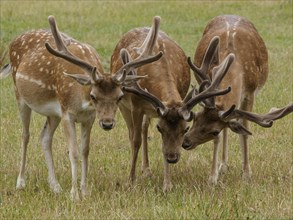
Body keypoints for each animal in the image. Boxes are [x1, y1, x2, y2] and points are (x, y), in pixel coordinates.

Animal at [0, 15, 161, 201]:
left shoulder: (88, 118)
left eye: (120, 96)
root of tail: (13, 41)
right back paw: (21, 182)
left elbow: (85, 151)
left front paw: (84, 190)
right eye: (93, 96)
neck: (81, 100)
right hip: (20, 95)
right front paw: (74, 194)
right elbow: (74, 152)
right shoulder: (67, 113)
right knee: (25, 135)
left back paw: (55, 186)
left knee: (45, 137)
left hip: (54, 113)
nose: (107, 123)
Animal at [109, 15, 233, 191]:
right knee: (133, 134)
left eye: (186, 128)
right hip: (123, 105)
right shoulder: (136, 106)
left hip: (149, 111)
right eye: (160, 128)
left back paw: (147, 170)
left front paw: (167, 184)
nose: (173, 158)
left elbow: (161, 145)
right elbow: (136, 141)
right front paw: (130, 181)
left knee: (144, 128)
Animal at [181, 14, 290, 185]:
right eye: (195, 118)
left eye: (213, 130)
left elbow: (244, 130)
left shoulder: (249, 93)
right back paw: (223, 165)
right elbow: (221, 137)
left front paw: (246, 173)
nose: (185, 142)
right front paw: (213, 177)